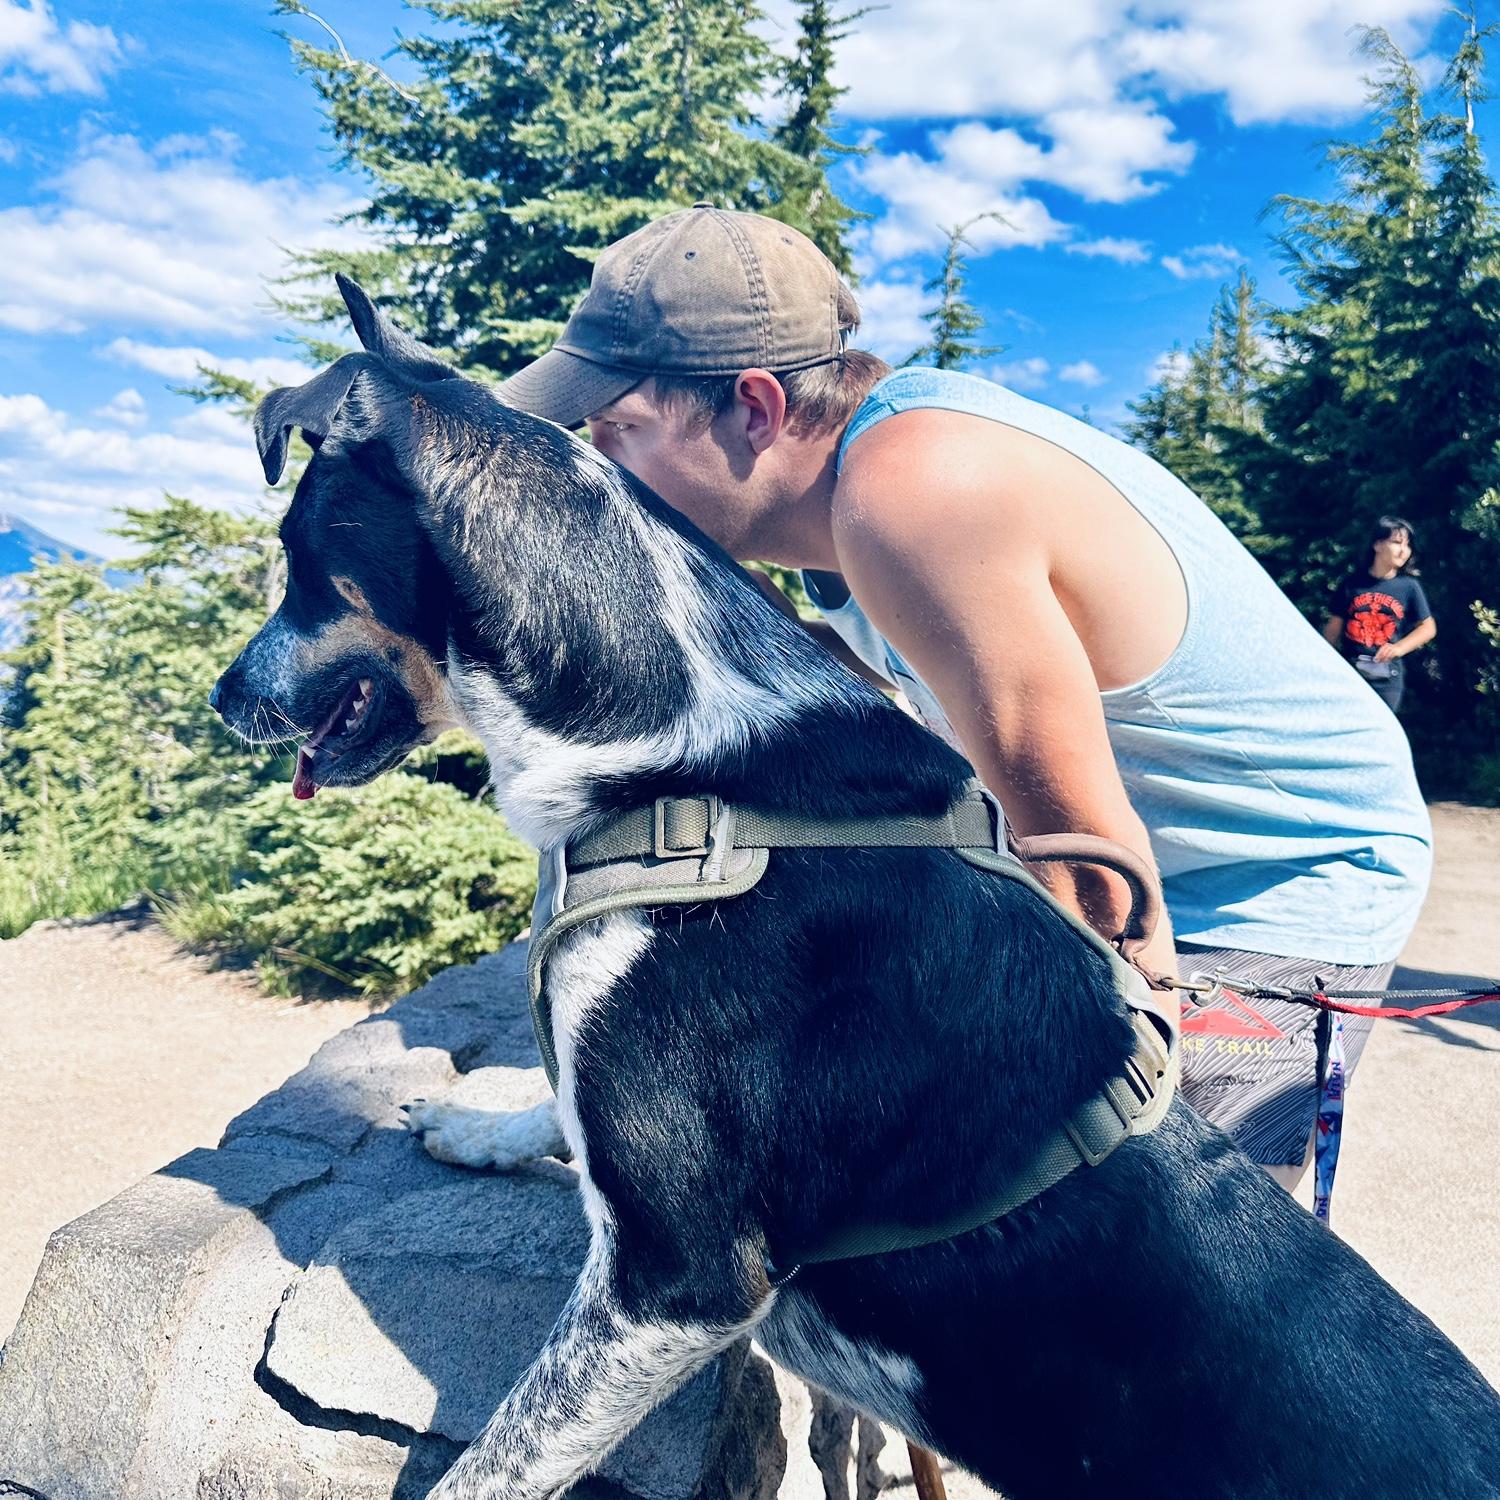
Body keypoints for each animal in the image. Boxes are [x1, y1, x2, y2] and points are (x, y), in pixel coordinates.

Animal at [211, 279, 1500, 1500]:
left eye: (295, 564)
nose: (223, 696)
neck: (682, 753)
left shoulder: (676, 1285)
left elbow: (497, 1463)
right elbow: (555, 1105)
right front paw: (473, 1128)